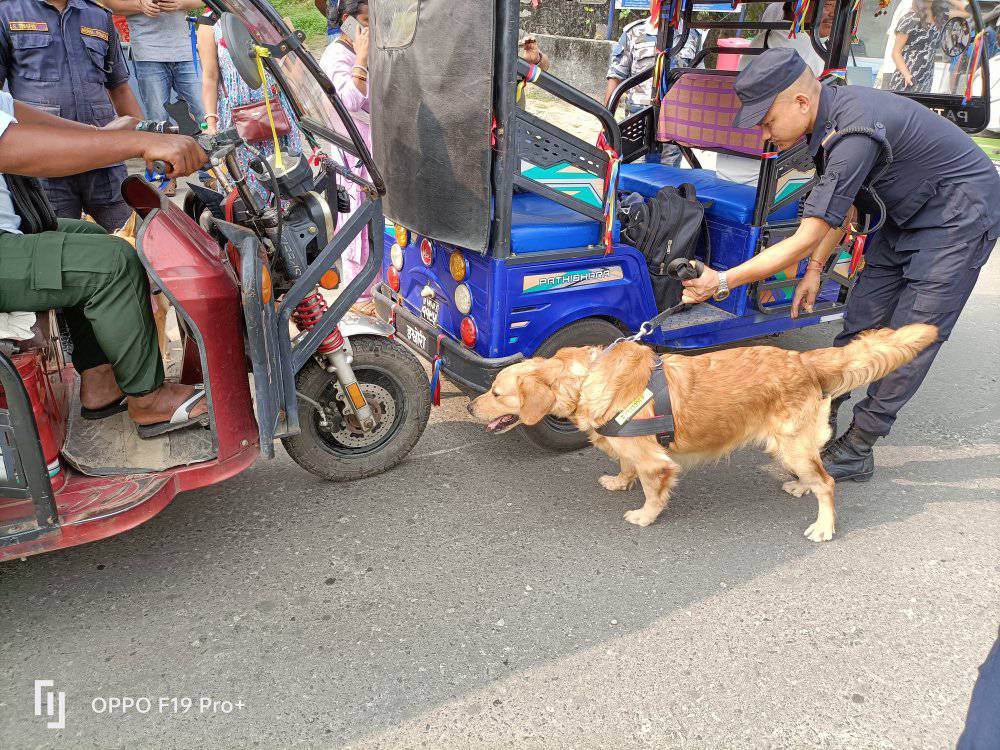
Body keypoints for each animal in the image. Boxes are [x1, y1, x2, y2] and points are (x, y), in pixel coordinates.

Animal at [468, 326, 936, 544]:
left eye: (496, 392)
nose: (471, 407)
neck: (586, 381)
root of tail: (803, 360)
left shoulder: (657, 462)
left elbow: (653, 488)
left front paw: (645, 515)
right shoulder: (627, 446)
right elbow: (625, 463)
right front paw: (619, 480)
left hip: (791, 444)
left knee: (828, 483)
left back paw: (823, 524)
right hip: (792, 447)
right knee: (817, 474)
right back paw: (800, 488)